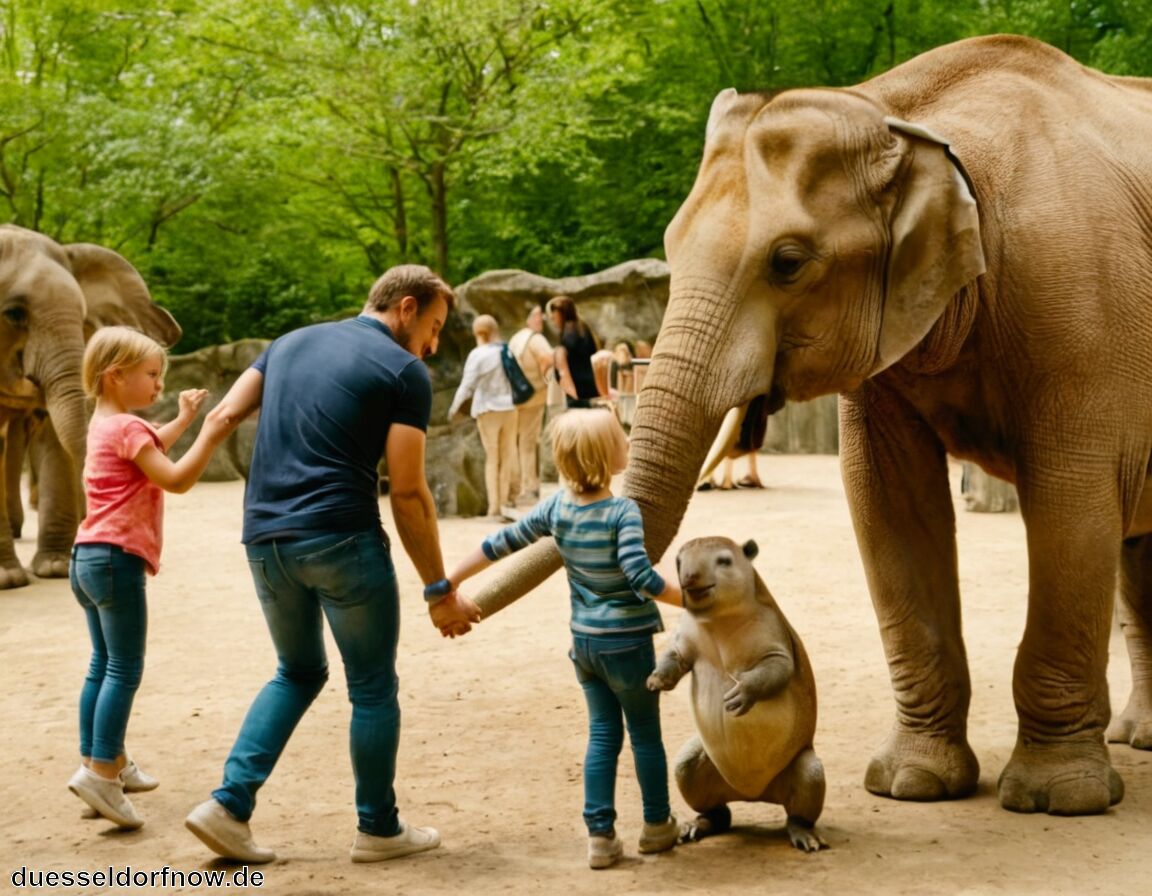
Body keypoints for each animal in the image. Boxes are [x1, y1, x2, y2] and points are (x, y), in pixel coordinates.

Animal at [472, 34, 1152, 815]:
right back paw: (1139, 738)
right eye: (670, 248)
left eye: (788, 263)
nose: (449, 613)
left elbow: (1071, 501)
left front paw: (1057, 798)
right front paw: (913, 785)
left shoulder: (1080, 306)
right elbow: (888, 502)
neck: (900, 115)